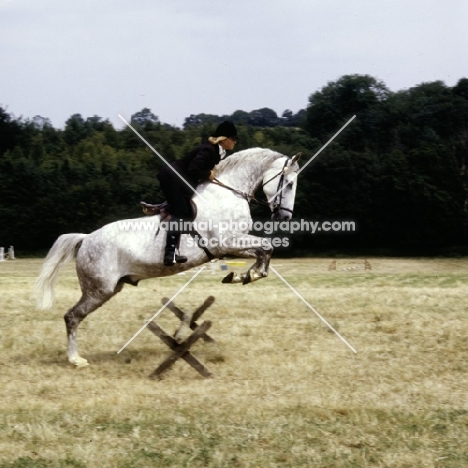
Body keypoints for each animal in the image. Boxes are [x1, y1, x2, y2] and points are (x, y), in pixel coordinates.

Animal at [35, 148, 300, 368]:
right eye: (288, 184)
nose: (285, 217)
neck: (227, 194)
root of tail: (86, 238)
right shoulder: (227, 241)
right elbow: (266, 247)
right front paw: (248, 274)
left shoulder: (230, 246)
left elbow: (264, 251)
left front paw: (243, 275)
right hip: (99, 290)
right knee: (72, 316)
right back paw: (75, 359)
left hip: (108, 288)